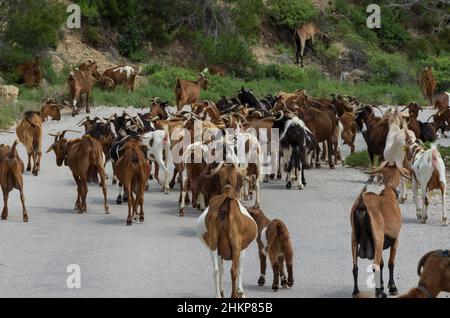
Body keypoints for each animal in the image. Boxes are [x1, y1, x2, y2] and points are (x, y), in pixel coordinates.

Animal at [352, 161, 412, 298]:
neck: (388, 192)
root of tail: (361, 205)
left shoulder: (379, 243)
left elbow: (383, 263)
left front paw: (383, 286)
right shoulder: (394, 239)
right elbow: (390, 263)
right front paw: (392, 287)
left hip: (355, 238)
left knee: (355, 267)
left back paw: (356, 291)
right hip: (378, 238)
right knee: (375, 265)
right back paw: (379, 293)